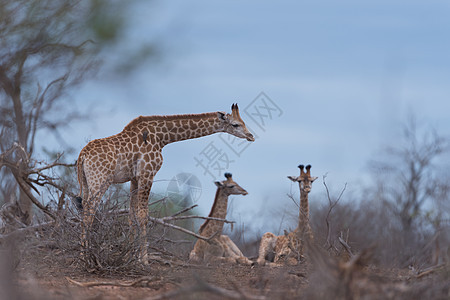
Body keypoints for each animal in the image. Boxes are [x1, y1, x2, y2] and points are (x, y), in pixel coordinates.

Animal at [75, 104, 255, 262]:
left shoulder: (135, 178)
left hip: (86, 182)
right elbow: (143, 215)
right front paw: (144, 260)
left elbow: (132, 215)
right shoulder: (147, 173)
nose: (251, 136)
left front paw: (129, 257)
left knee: (84, 209)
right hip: (100, 180)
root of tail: (82, 155)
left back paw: (84, 253)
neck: (162, 137)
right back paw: (84, 255)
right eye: (236, 124)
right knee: (89, 211)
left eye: (244, 122)